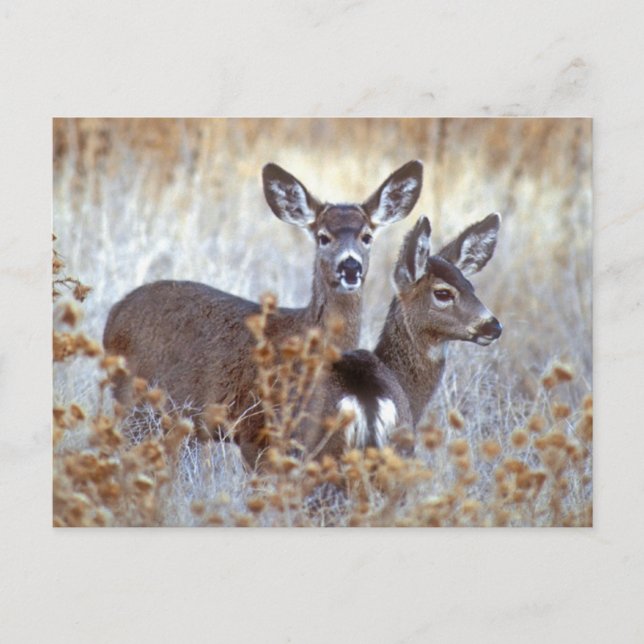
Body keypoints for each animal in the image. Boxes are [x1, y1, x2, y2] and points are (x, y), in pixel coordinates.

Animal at [103, 160, 423, 466]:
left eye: (367, 236)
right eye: (323, 237)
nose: (350, 266)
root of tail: (115, 311)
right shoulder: (255, 429)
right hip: (134, 402)